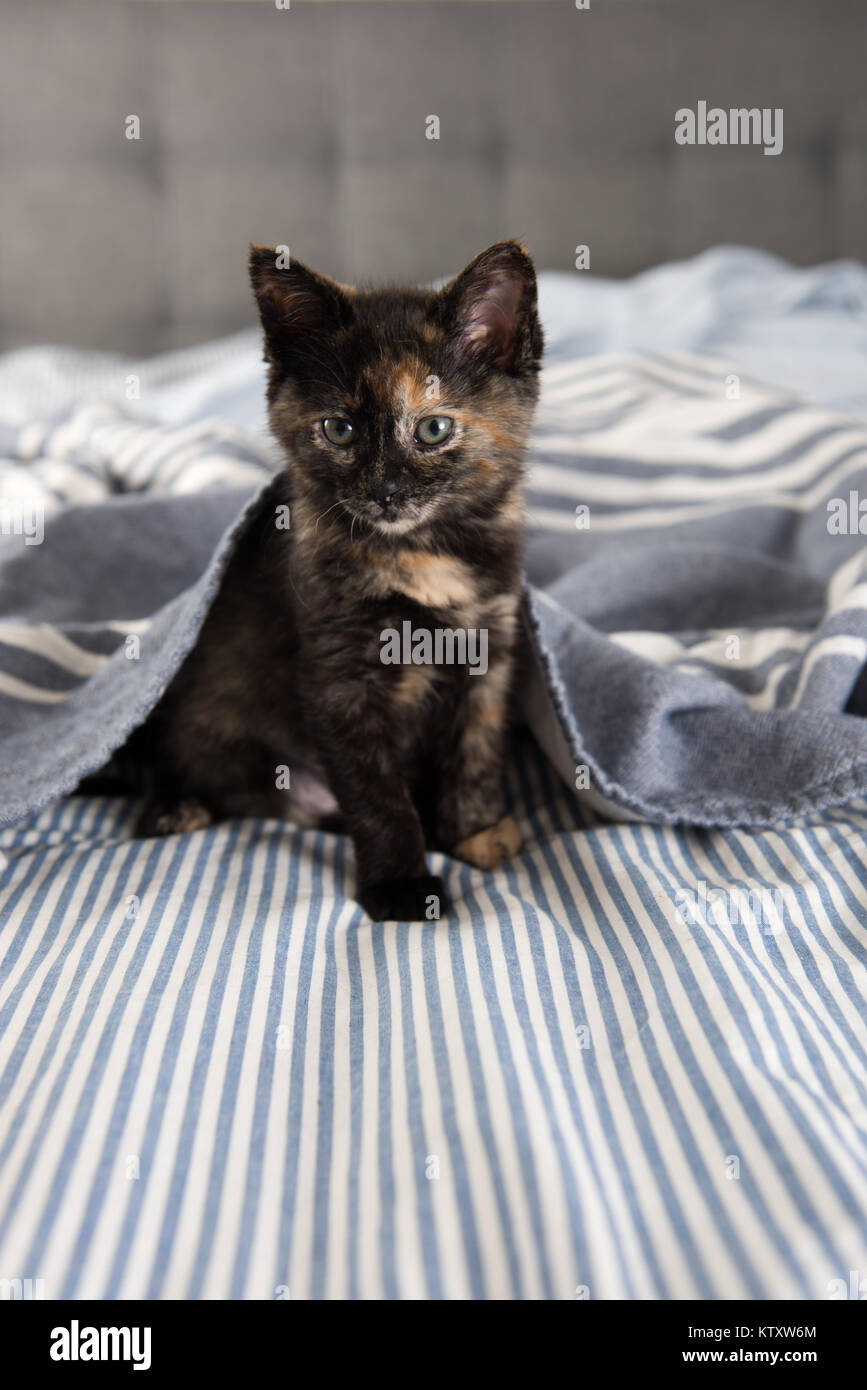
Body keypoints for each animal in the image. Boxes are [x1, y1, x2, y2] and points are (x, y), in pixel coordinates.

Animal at [131, 239, 541, 917]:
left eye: (433, 428)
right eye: (339, 430)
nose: (385, 492)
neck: (418, 552)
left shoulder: (488, 644)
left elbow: (476, 749)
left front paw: (474, 831)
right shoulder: (340, 675)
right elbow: (377, 795)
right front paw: (403, 890)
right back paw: (173, 807)